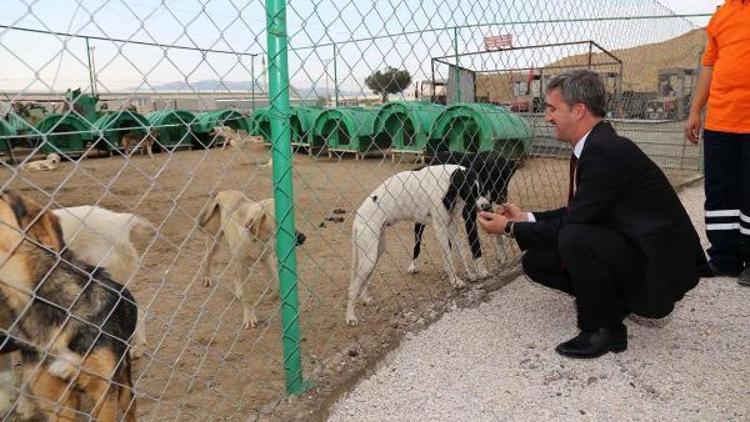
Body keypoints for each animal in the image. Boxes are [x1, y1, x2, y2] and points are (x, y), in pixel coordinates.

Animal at [200, 190, 308, 330]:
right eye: (279, 222)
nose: (302, 237)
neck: (258, 238)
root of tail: (223, 192)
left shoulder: (267, 258)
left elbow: (277, 285)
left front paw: (273, 296)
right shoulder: (242, 264)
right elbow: (248, 297)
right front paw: (249, 317)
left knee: (233, 271)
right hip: (215, 241)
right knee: (207, 258)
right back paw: (207, 277)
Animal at [346, 165, 494, 326]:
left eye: (482, 189)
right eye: (470, 190)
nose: (487, 207)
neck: (447, 181)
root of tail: (357, 219)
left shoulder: (453, 225)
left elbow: (463, 253)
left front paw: (471, 274)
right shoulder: (441, 229)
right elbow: (448, 260)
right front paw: (455, 281)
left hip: (375, 252)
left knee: (364, 279)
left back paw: (365, 298)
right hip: (369, 257)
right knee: (353, 286)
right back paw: (350, 316)